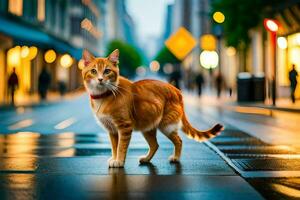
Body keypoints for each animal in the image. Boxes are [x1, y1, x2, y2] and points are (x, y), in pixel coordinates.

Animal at [81, 49, 223, 168]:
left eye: (107, 71)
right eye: (93, 71)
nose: (100, 79)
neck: (104, 95)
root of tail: (176, 90)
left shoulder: (124, 126)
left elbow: (121, 146)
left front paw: (119, 161)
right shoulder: (112, 130)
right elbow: (114, 146)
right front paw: (115, 158)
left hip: (166, 125)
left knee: (179, 140)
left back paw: (176, 158)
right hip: (148, 127)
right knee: (155, 145)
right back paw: (146, 159)